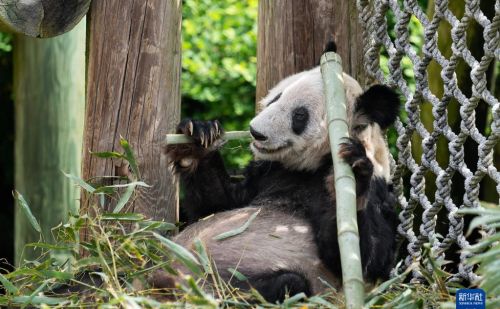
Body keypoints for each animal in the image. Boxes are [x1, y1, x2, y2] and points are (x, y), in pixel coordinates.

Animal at [166, 43, 400, 300]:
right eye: (276, 97)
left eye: (299, 115)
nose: (255, 132)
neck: (310, 166)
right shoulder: (267, 173)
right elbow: (215, 206)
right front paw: (197, 139)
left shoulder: (379, 191)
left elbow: (367, 258)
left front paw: (355, 178)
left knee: (289, 284)